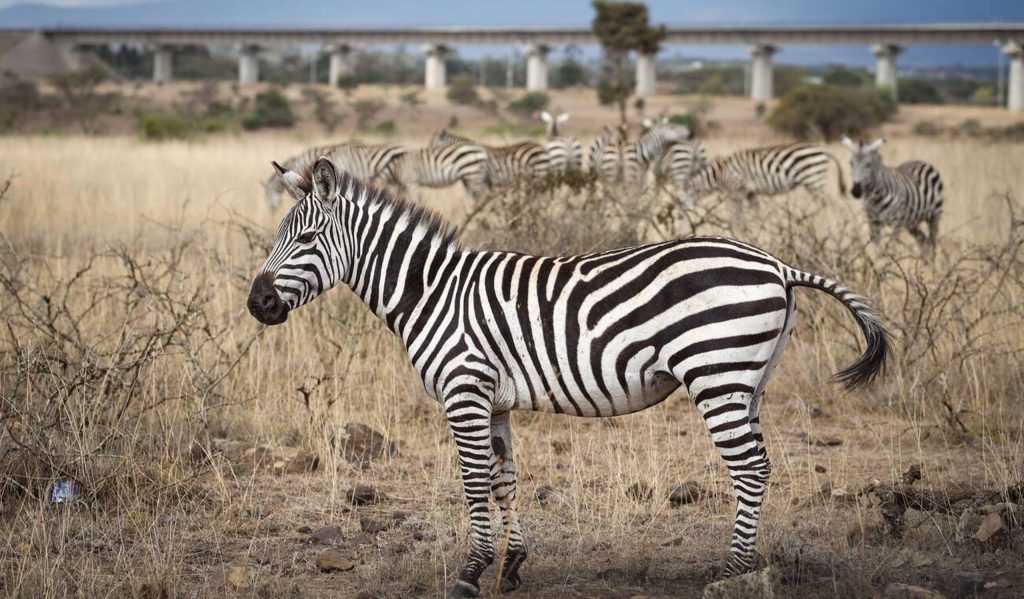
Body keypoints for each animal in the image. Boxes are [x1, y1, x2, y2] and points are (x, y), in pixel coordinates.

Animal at [248, 155, 890, 598]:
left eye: (306, 239)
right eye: (278, 237)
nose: (257, 303)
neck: (431, 292)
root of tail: (776, 263)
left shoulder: (464, 392)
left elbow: (474, 484)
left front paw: (470, 572)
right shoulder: (494, 399)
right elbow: (504, 481)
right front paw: (511, 566)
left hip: (717, 374)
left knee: (750, 467)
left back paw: (728, 573)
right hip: (748, 380)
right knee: (760, 465)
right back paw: (749, 566)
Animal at [679, 143, 847, 215]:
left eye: (682, 199)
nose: (682, 216)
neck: (720, 173)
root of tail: (823, 148)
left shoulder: (736, 190)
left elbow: (736, 216)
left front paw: (740, 231)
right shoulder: (750, 193)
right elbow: (756, 214)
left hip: (813, 179)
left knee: (832, 205)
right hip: (814, 181)